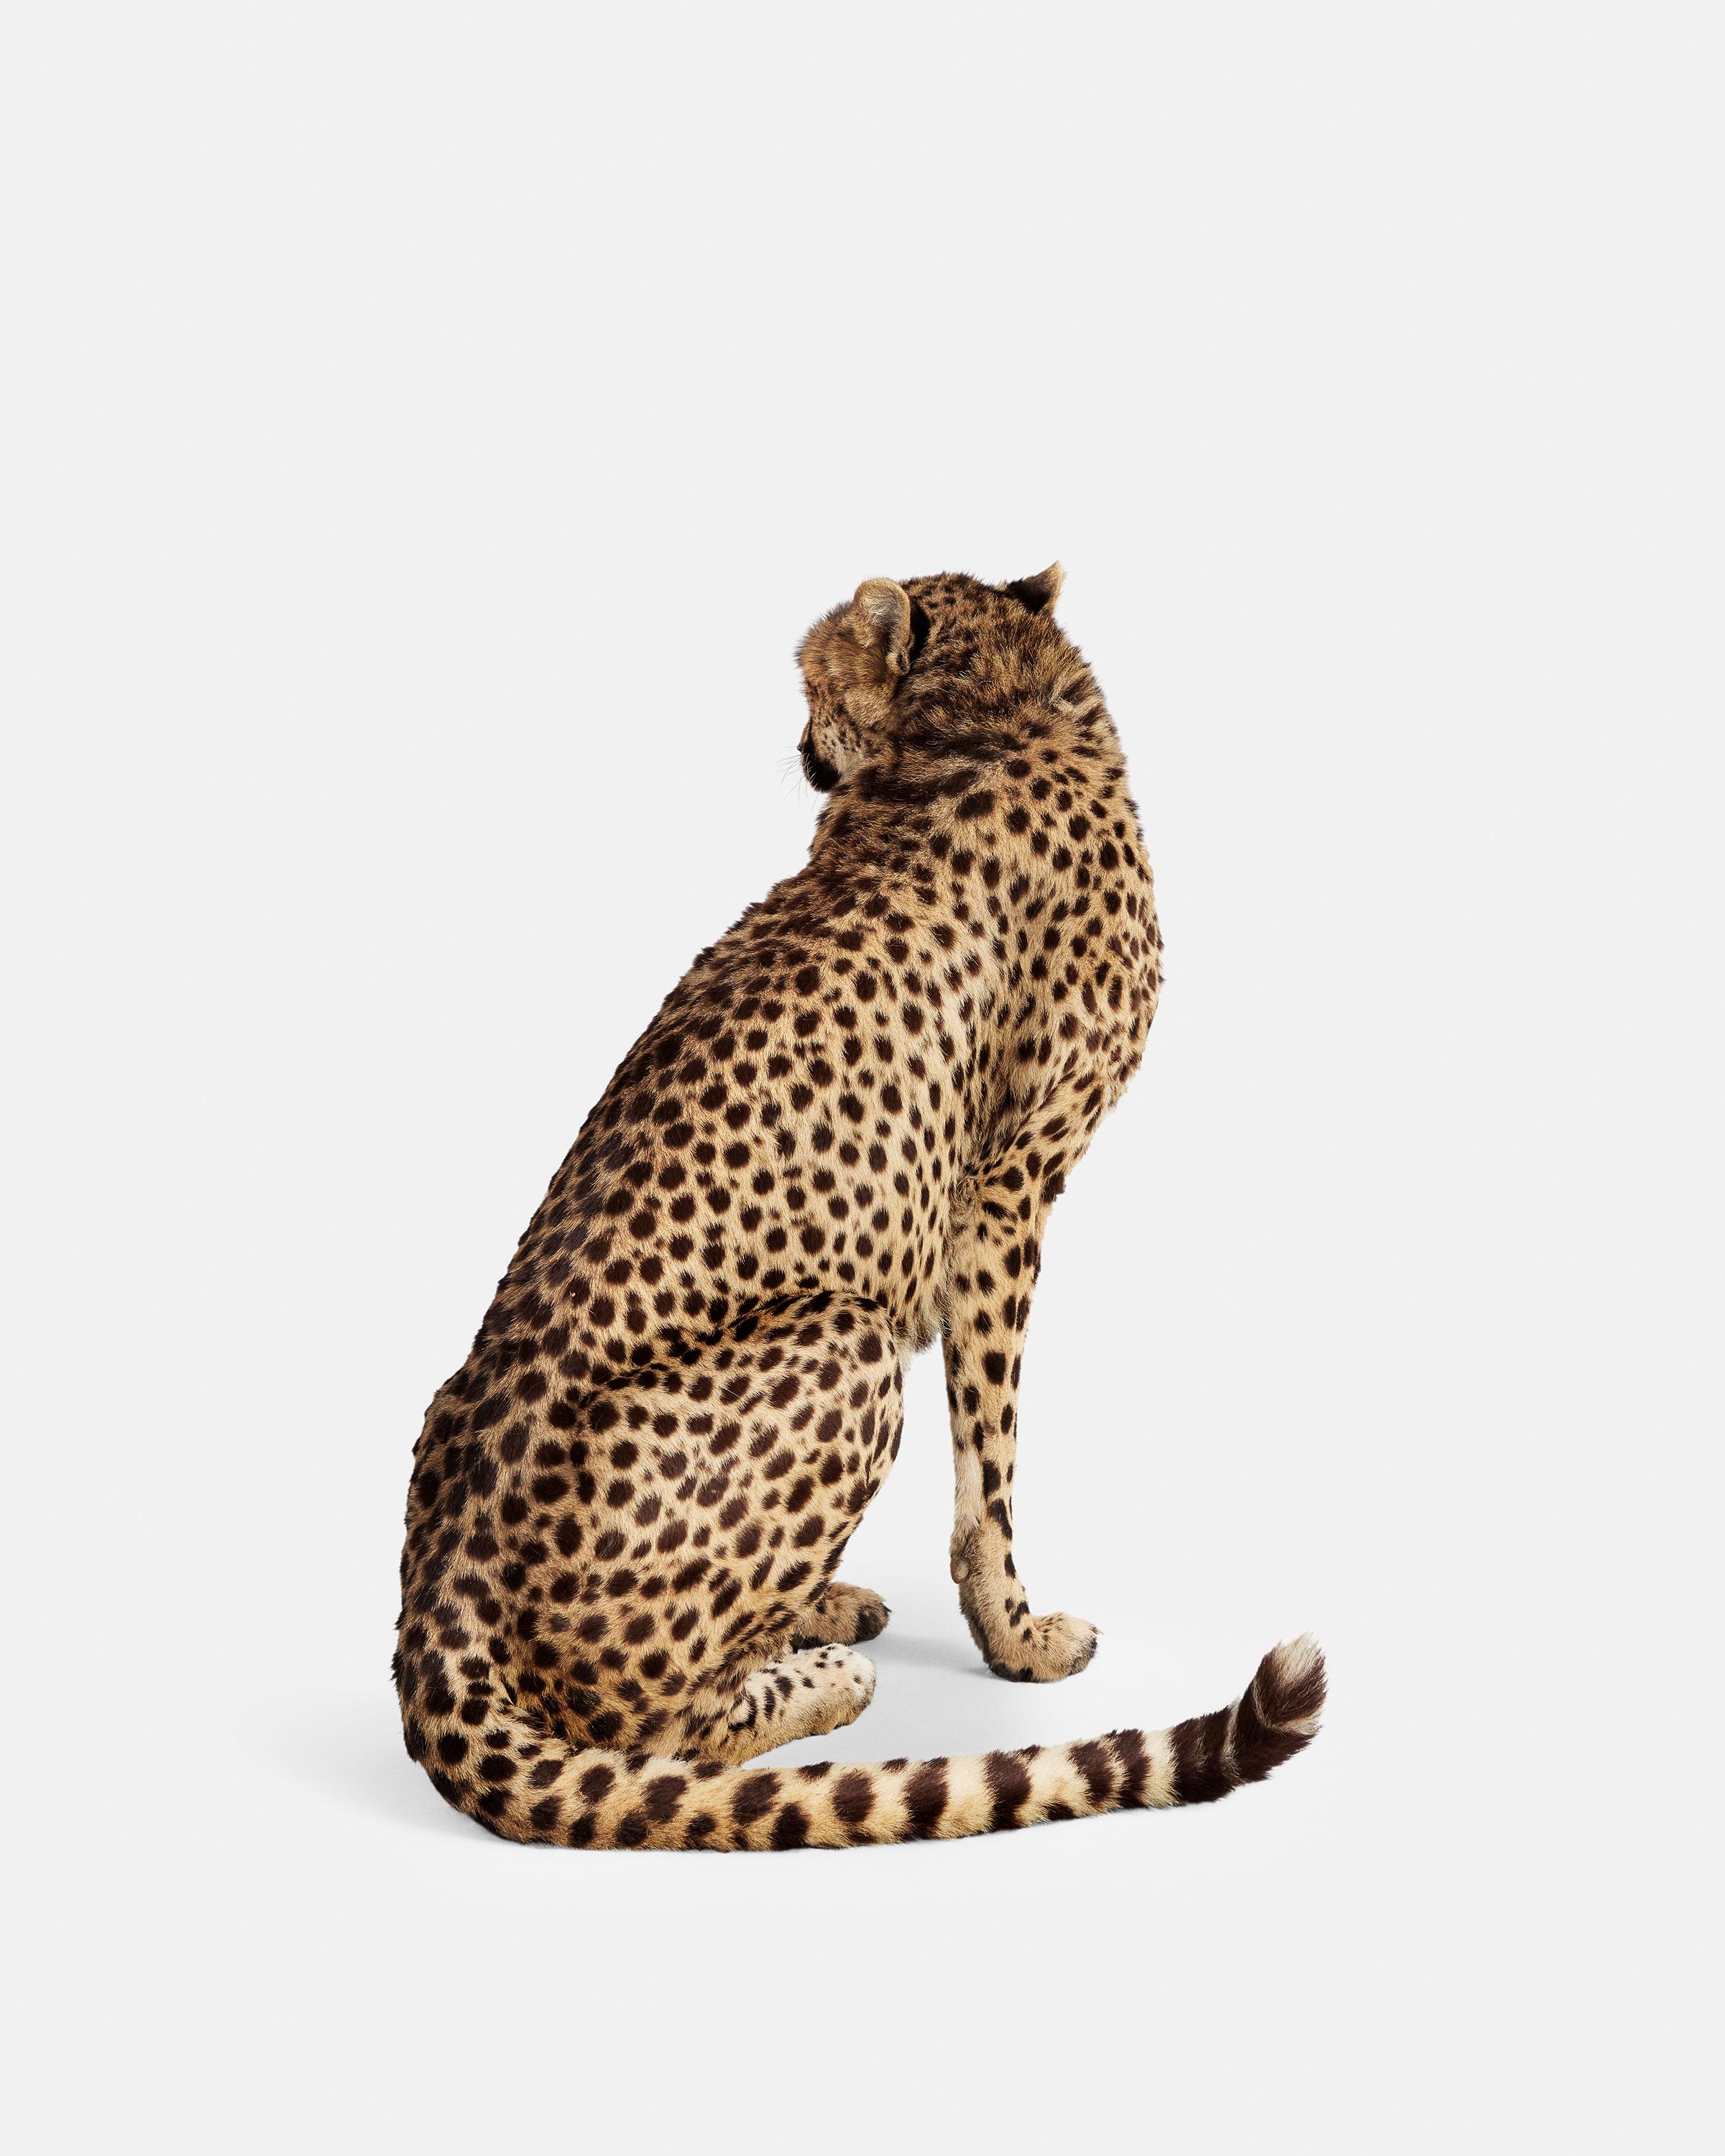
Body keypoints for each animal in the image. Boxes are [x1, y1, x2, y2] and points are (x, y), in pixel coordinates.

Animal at [393, 564, 1325, 1848]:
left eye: (811, 684)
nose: (796, 747)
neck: (988, 709)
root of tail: (443, 1590)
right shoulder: (1002, 1194)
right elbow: (992, 1466)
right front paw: (1019, 1639)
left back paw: (813, 1608)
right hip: (848, 1342)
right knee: (652, 1733)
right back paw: (824, 1676)